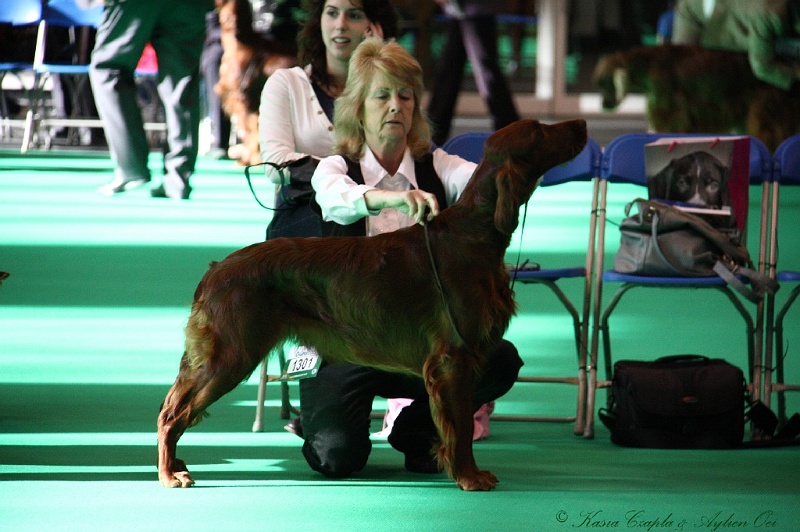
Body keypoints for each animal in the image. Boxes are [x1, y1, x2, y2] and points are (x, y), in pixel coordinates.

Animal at [156, 119, 588, 490]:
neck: (474, 233)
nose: (583, 124)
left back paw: (176, 465)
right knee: (172, 414)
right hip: (230, 355)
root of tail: (216, 270)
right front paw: (469, 476)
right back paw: (169, 473)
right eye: (538, 132)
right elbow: (462, 426)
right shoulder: (454, 357)